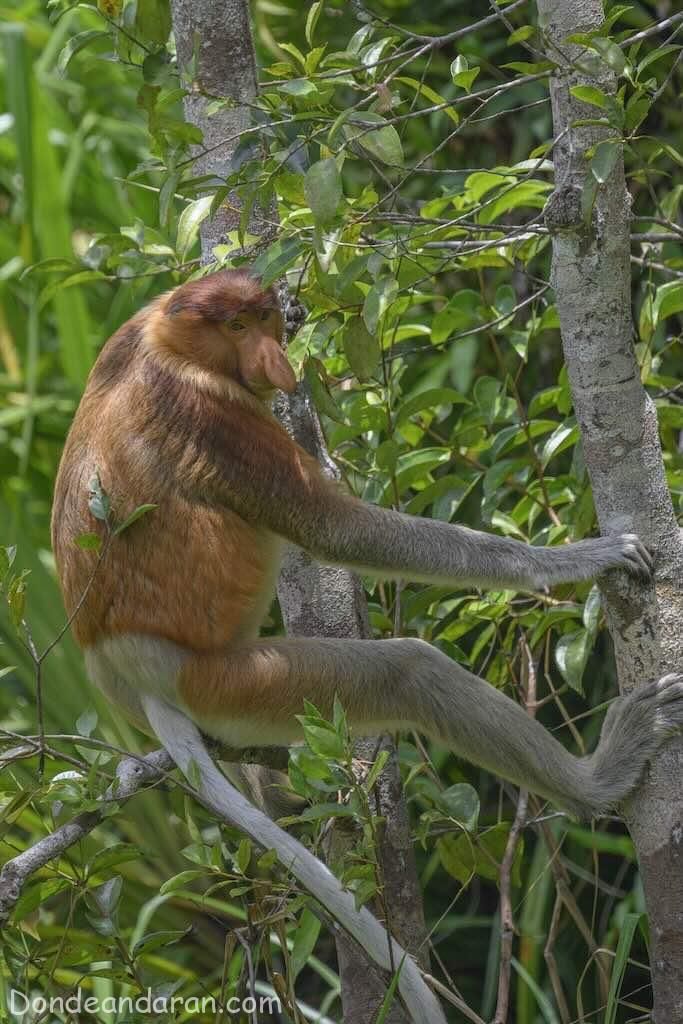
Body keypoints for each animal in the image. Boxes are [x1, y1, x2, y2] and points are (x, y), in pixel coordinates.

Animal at [51, 267, 683, 822]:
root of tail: (121, 660)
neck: (167, 343)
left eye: (261, 319)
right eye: (235, 327)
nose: (274, 360)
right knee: (408, 673)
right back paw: (600, 780)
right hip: (225, 682)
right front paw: (583, 557)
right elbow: (334, 529)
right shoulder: (212, 413)